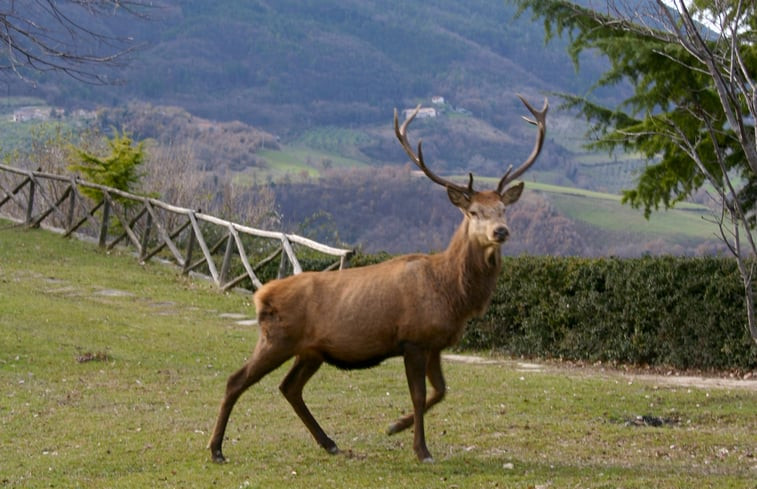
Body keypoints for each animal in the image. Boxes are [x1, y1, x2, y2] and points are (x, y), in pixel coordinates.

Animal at [210, 94, 548, 462]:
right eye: (474, 212)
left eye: (503, 209)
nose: (501, 231)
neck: (452, 295)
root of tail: (260, 295)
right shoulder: (413, 339)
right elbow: (420, 395)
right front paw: (420, 449)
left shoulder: (434, 343)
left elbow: (441, 391)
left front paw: (395, 426)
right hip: (277, 338)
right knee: (236, 380)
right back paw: (216, 449)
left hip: (311, 351)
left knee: (289, 387)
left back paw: (329, 442)